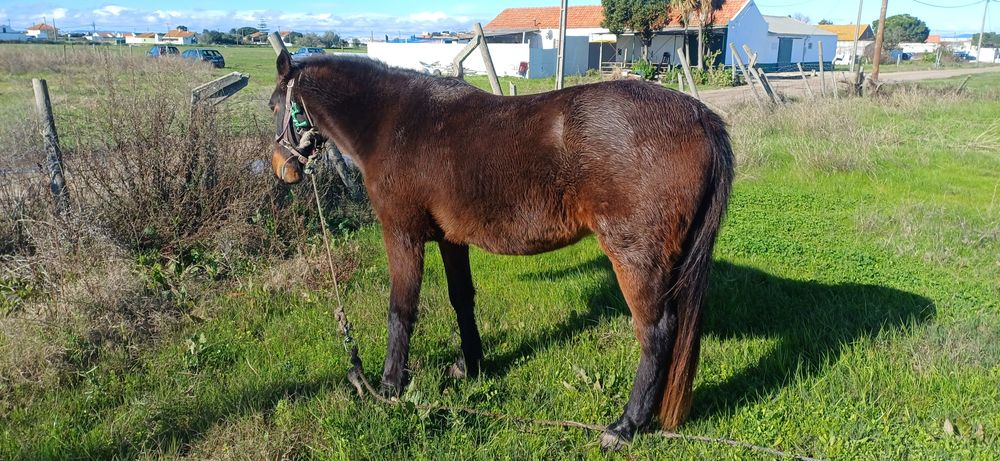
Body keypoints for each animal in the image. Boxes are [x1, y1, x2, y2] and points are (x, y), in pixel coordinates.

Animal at [268, 50, 733, 447]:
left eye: (274, 106)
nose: (281, 168)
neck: (392, 122)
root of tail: (700, 116)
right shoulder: (450, 240)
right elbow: (461, 299)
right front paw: (470, 366)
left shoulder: (402, 233)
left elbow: (401, 310)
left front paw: (390, 385)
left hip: (636, 258)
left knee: (657, 332)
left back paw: (626, 425)